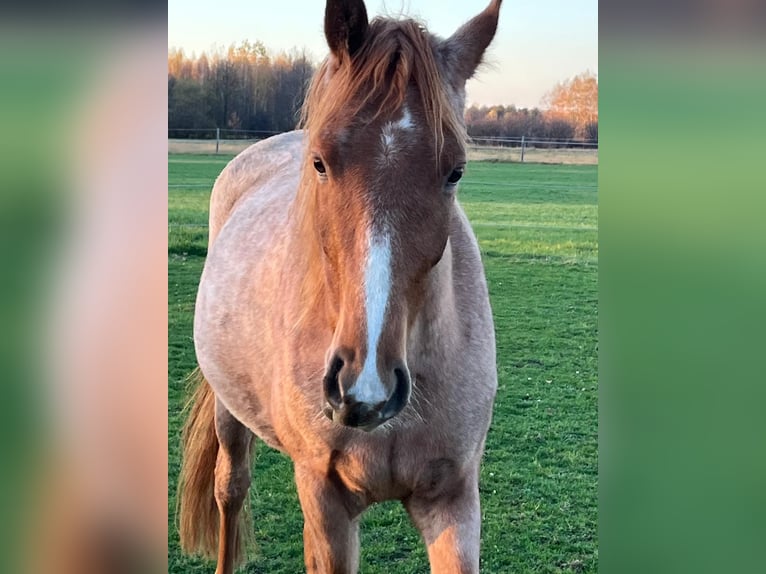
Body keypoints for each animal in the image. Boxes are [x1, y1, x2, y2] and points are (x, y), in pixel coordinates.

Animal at [180, 1, 504, 574]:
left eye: (456, 172)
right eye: (320, 163)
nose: (366, 387)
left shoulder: (453, 499)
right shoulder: (325, 499)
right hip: (228, 413)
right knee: (230, 489)